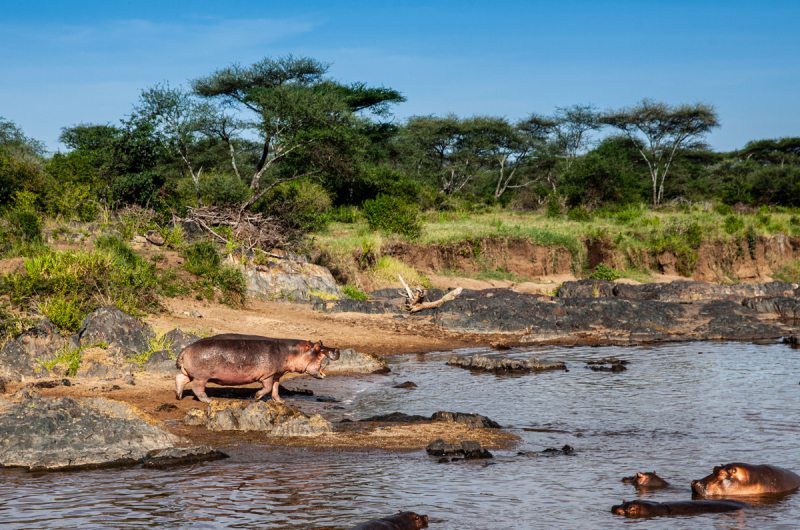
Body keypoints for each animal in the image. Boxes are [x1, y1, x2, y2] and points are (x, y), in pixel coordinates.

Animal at [173, 332, 340, 402]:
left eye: (320, 343)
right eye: (317, 347)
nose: (337, 349)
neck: (290, 351)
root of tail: (186, 349)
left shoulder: (276, 374)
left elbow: (275, 389)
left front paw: (280, 402)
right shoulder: (267, 374)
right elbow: (267, 388)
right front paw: (257, 397)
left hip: (190, 373)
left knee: (180, 378)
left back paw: (179, 396)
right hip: (201, 377)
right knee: (197, 389)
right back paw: (208, 401)